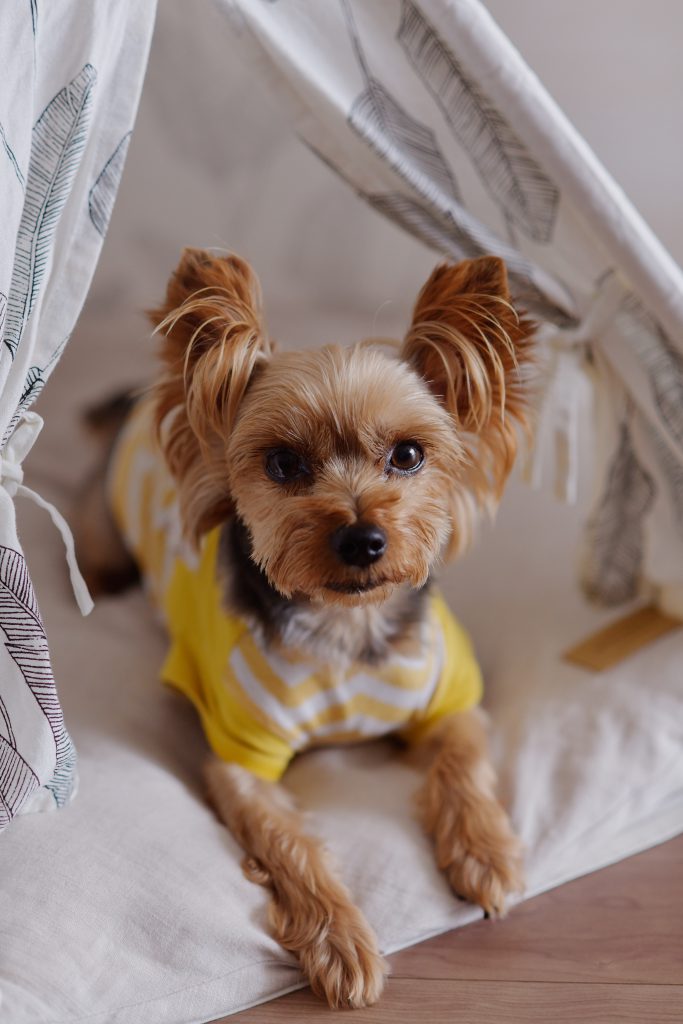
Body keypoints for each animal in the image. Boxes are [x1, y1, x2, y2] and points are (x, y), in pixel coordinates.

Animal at [78, 247, 532, 1007]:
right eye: (283, 464)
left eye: (408, 455)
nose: (363, 540)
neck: (346, 627)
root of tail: (140, 401)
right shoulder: (241, 752)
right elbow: (290, 844)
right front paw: (340, 941)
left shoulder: (450, 693)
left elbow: (462, 762)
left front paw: (485, 853)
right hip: (107, 500)